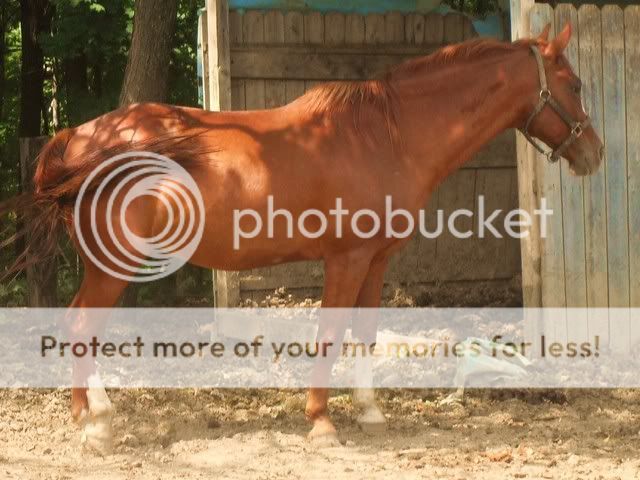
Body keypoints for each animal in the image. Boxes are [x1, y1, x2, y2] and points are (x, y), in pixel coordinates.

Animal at [1, 23, 603, 454]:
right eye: (574, 84)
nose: (594, 153)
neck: (386, 135)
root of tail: (79, 135)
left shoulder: (376, 261)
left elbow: (364, 334)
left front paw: (370, 411)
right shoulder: (346, 259)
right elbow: (331, 334)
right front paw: (322, 423)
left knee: (76, 327)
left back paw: (84, 417)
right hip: (116, 265)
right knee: (83, 327)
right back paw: (100, 425)